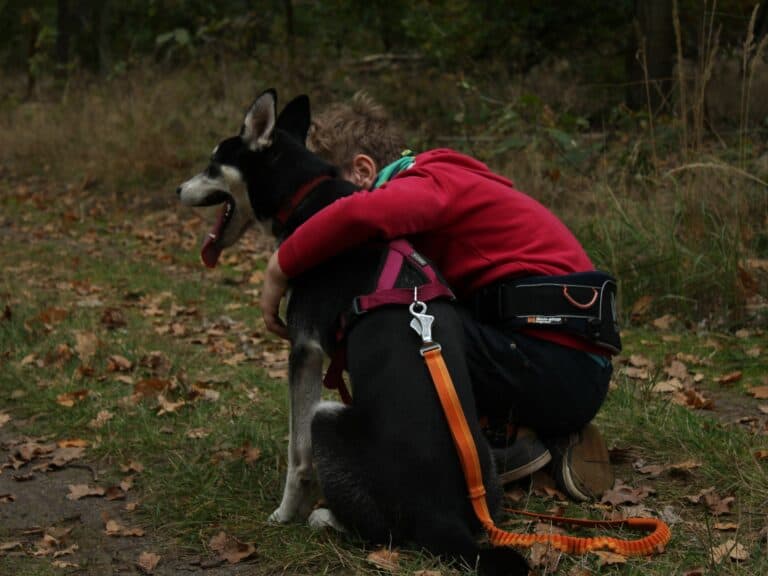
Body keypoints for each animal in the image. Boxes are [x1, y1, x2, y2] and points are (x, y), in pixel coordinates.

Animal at [177, 88, 528, 572]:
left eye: (213, 163)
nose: (177, 190)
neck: (305, 197)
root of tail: (442, 518)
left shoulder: (303, 350)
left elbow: (297, 457)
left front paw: (284, 513)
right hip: (485, 475)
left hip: (328, 415)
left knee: (380, 532)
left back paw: (324, 517)